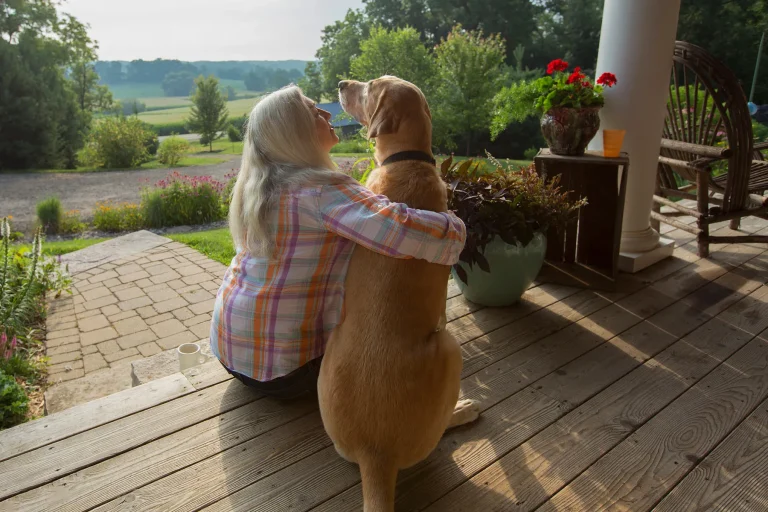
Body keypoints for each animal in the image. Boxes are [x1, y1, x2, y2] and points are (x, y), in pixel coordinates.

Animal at [318, 77, 480, 512]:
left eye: (370, 86)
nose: (341, 81)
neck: (408, 159)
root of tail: (376, 455)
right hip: (450, 347)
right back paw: (464, 410)